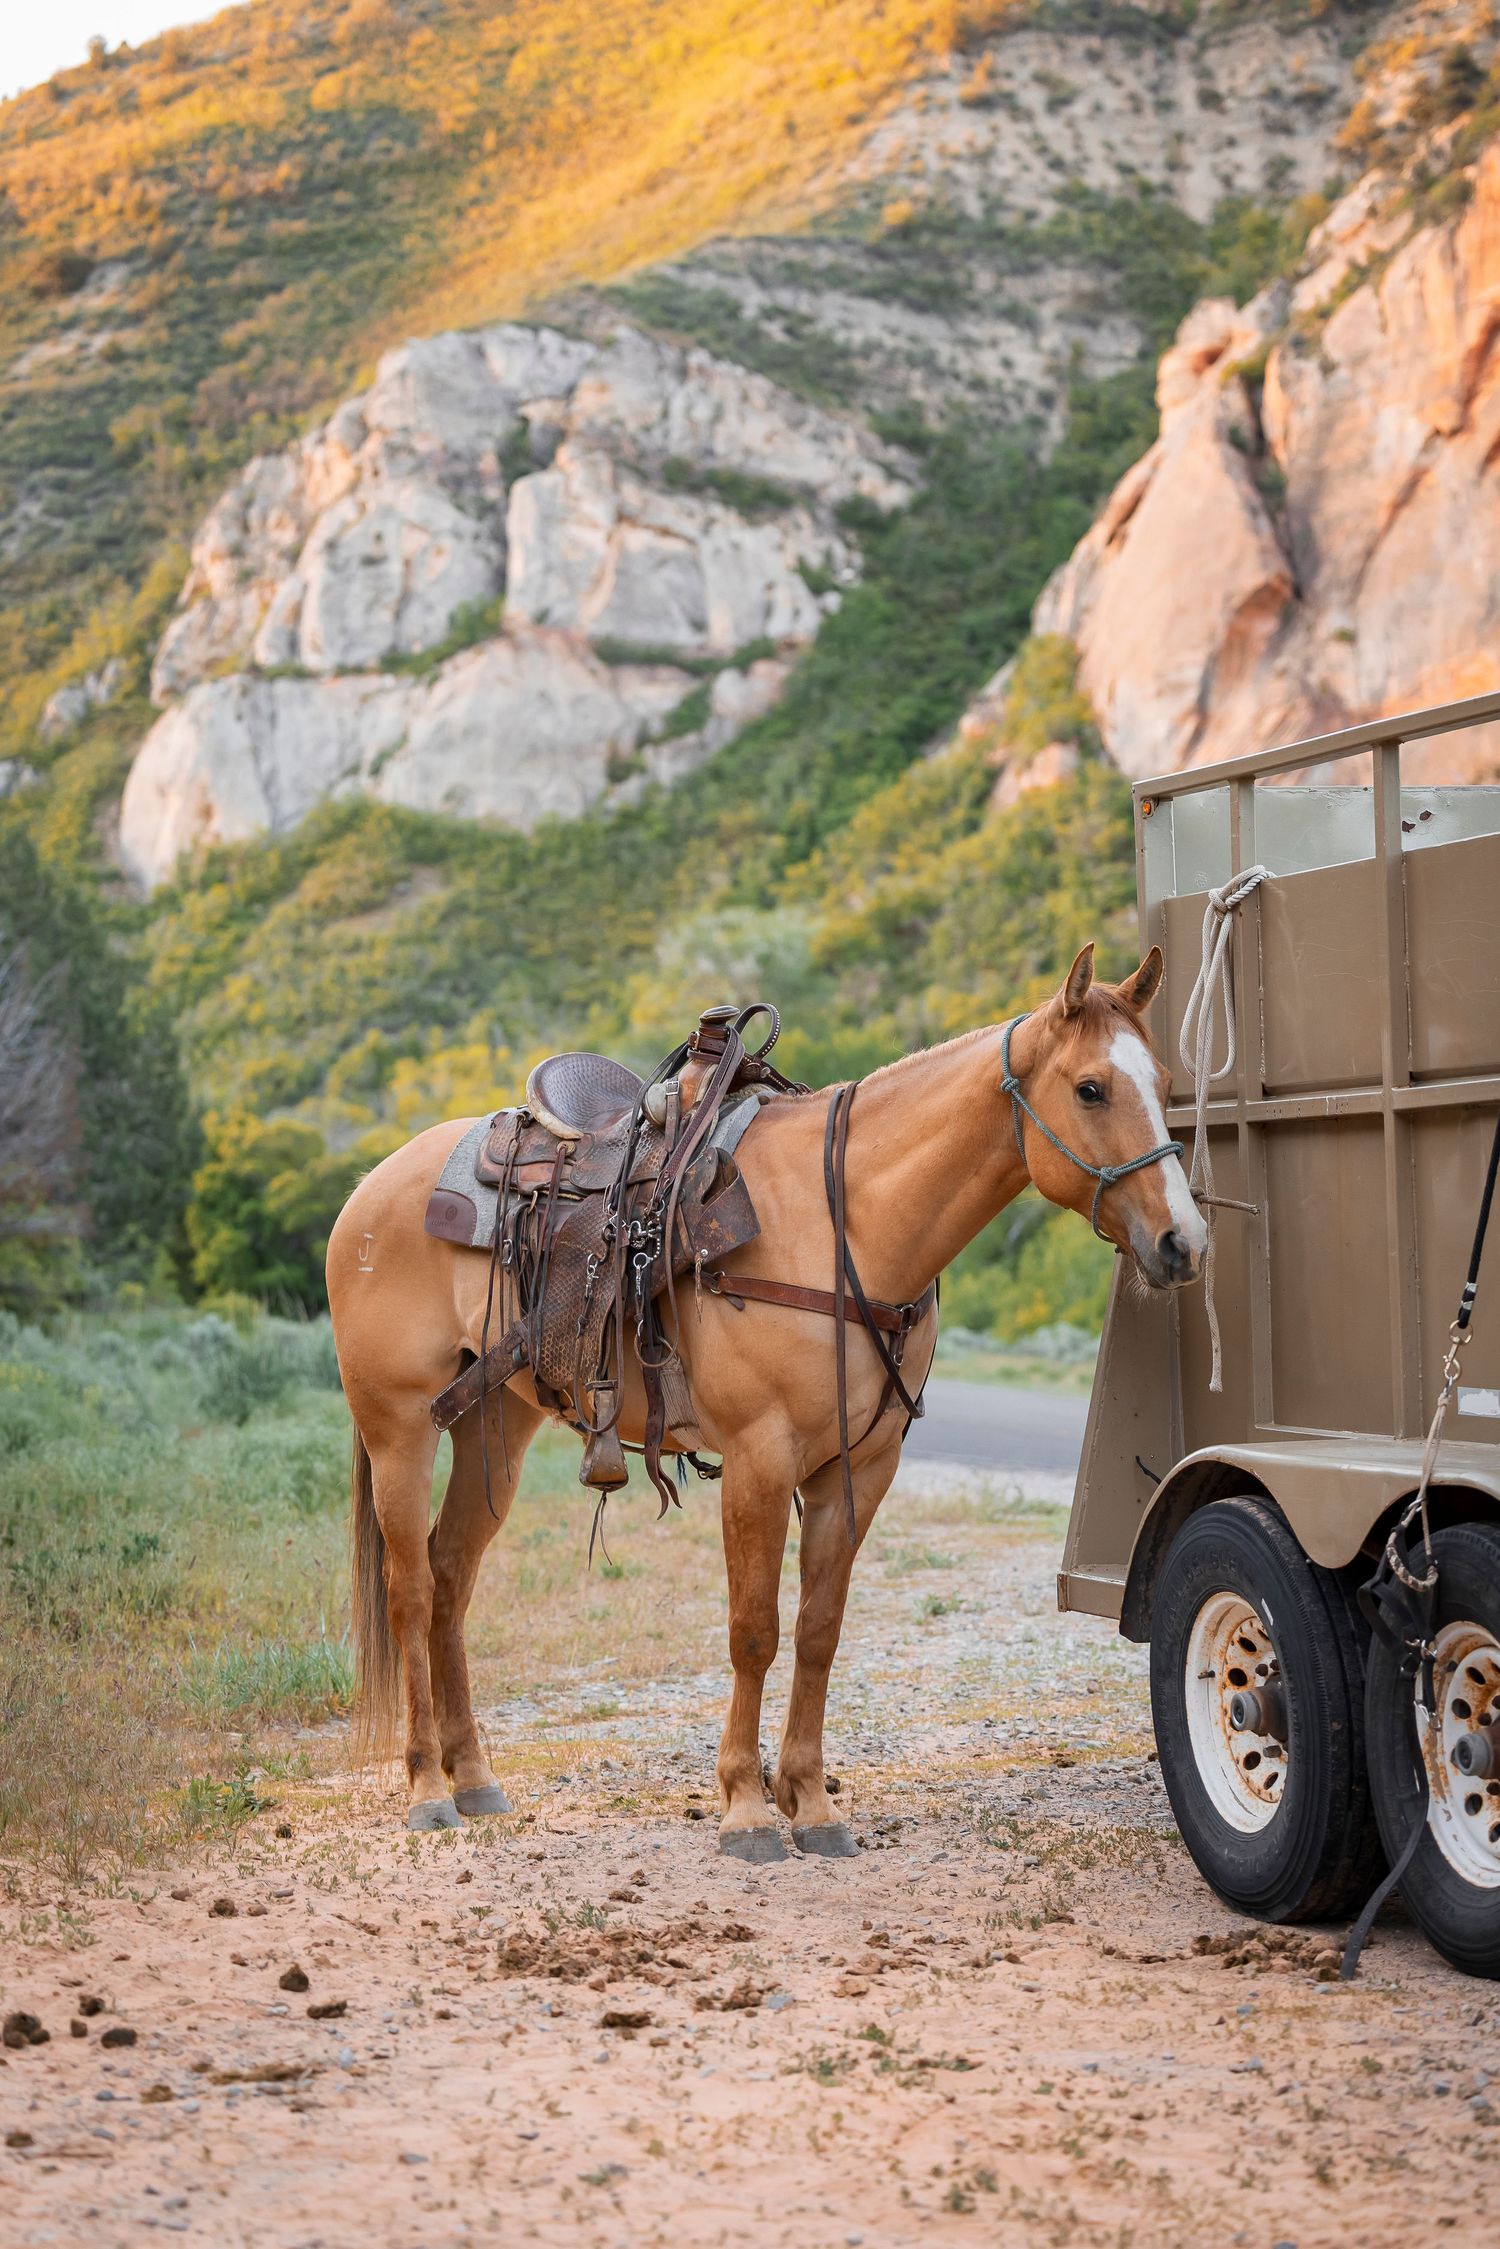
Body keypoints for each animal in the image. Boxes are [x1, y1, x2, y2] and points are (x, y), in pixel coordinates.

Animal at [326, 941, 1206, 1854]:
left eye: (1164, 1082)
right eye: (1091, 1088)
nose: (1183, 1240)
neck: (843, 1224)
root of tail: (369, 1188)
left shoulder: (861, 1470)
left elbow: (818, 1632)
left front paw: (811, 1801)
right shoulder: (759, 1459)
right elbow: (755, 1631)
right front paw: (747, 1805)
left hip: (493, 1425)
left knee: (451, 1575)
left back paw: (473, 1777)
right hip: (400, 1430)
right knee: (410, 1586)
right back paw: (427, 1786)